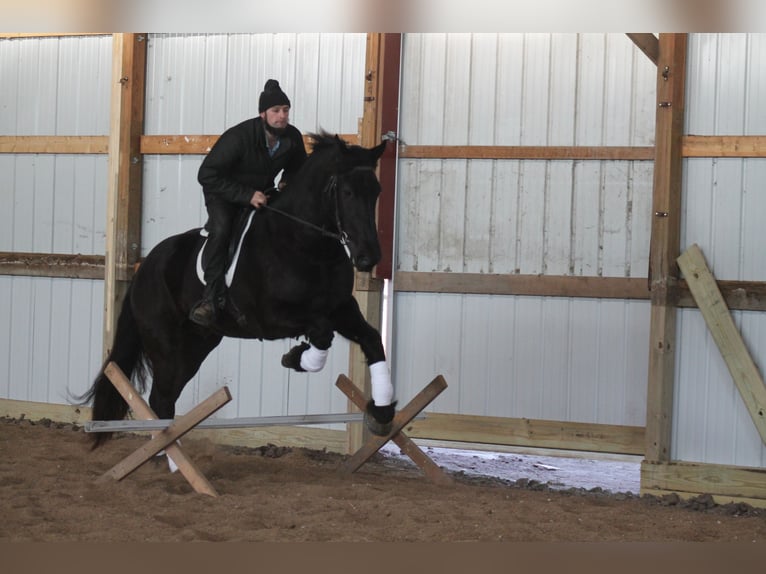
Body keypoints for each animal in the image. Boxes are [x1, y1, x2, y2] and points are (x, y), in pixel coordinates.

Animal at [82, 133, 400, 448]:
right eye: (347, 193)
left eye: (376, 191)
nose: (369, 258)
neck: (308, 245)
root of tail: (144, 267)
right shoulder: (270, 318)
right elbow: (322, 333)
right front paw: (296, 357)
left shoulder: (340, 308)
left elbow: (372, 339)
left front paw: (381, 411)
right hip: (166, 344)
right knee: (161, 397)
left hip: (198, 343)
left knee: (166, 397)